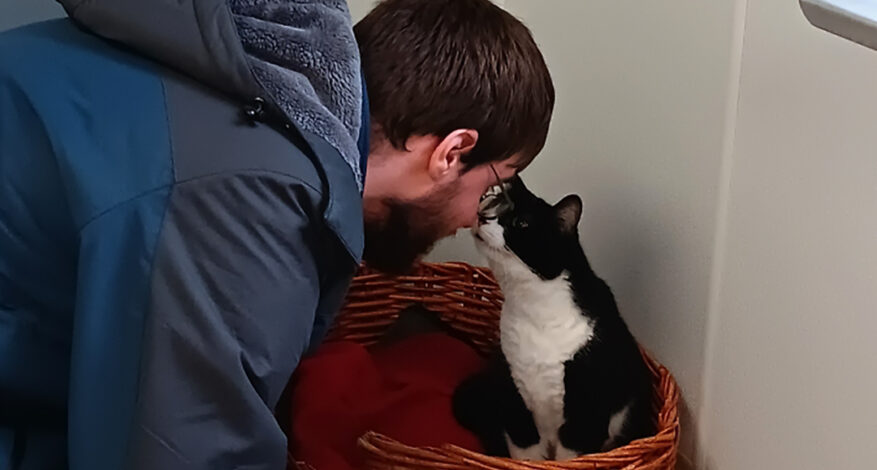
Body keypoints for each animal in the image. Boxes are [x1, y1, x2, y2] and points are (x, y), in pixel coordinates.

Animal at [456, 175, 652, 458]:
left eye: (521, 223)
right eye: (491, 203)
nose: (482, 217)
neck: (535, 309)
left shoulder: (586, 413)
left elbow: (570, 457)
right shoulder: (514, 397)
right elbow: (525, 454)